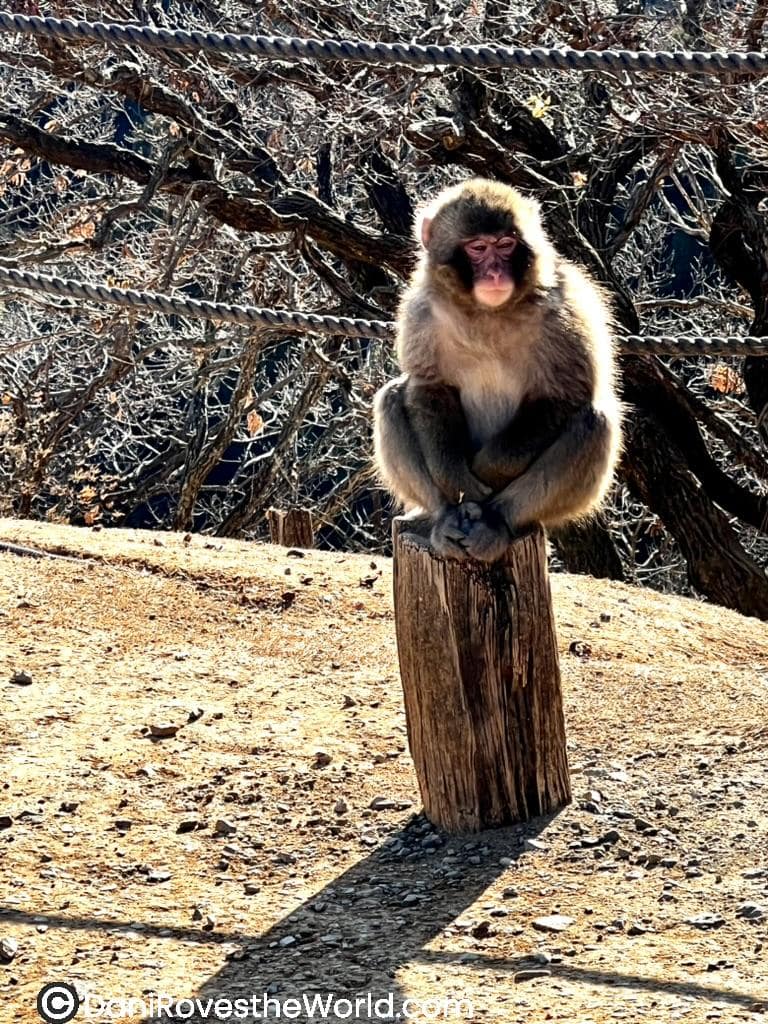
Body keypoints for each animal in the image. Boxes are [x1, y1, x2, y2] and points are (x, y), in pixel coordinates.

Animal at [373, 178, 622, 563]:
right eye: (477, 248)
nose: (494, 273)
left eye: (506, 245)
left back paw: (496, 521)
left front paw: (489, 470)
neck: (486, 313)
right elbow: (430, 386)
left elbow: (563, 393)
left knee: (593, 421)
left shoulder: (565, 308)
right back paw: (443, 516)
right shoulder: (421, 312)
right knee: (392, 398)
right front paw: (456, 479)